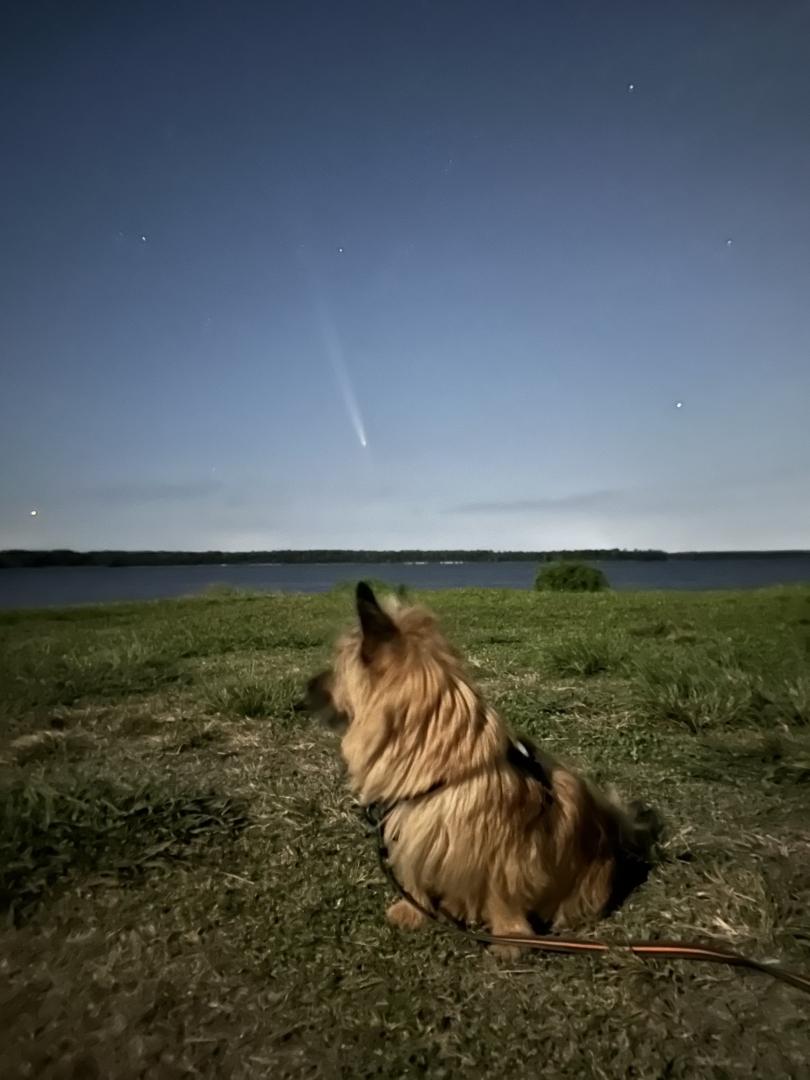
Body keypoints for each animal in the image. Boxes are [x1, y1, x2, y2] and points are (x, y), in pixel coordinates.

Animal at [297, 582, 661, 952]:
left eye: (336, 667)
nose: (304, 689)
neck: (443, 761)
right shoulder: (414, 831)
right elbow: (414, 877)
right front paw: (411, 911)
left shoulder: (506, 851)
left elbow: (503, 892)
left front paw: (510, 938)